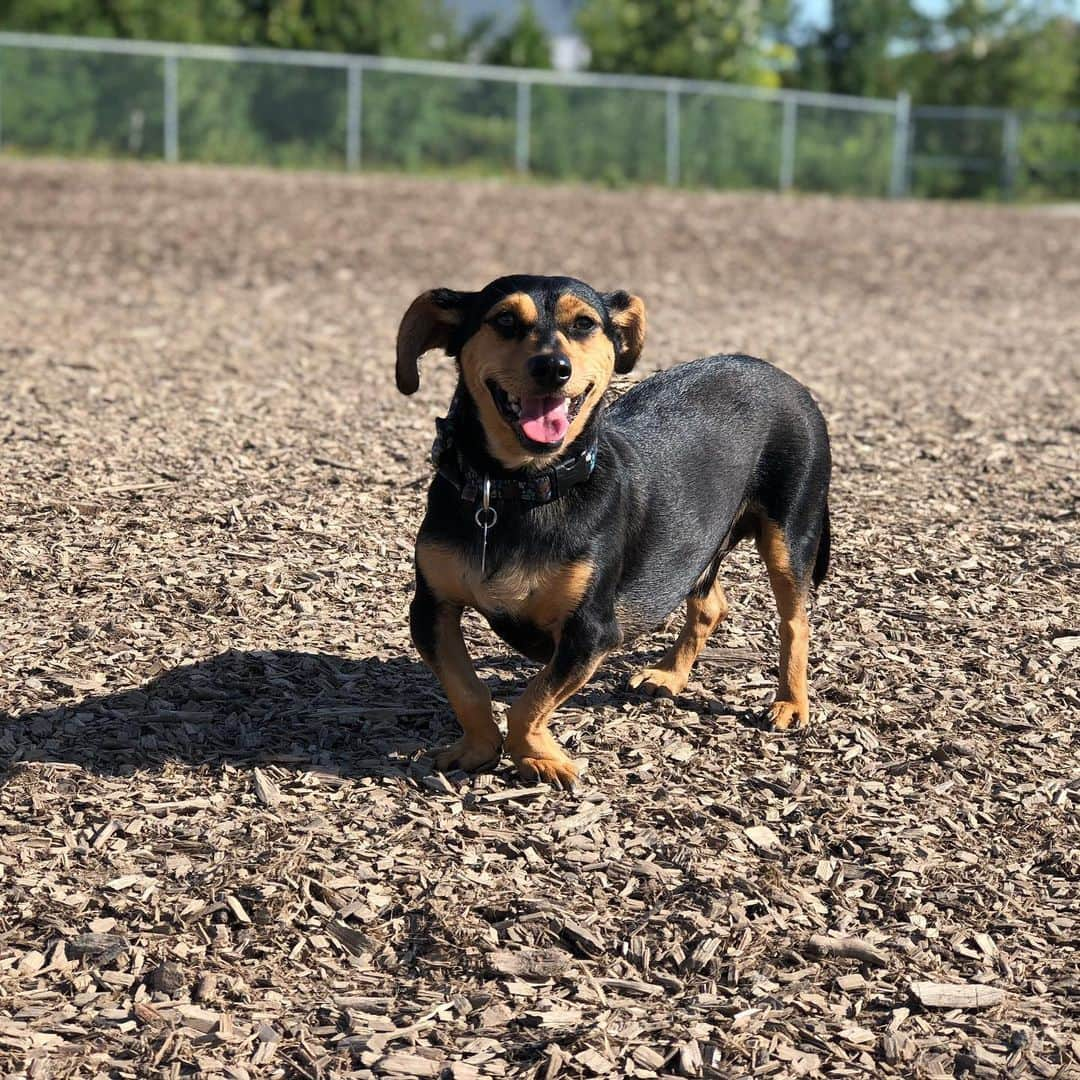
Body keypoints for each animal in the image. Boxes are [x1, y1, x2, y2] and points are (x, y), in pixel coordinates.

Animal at [399, 276, 833, 786]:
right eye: (504, 319)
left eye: (584, 323)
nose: (553, 368)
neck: (519, 489)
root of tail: (778, 373)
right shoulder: (432, 610)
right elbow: (465, 688)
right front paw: (478, 747)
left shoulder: (591, 630)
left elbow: (531, 700)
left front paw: (539, 758)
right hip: (693, 546)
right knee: (710, 606)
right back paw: (668, 675)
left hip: (789, 534)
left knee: (794, 623)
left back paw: (790, 702)